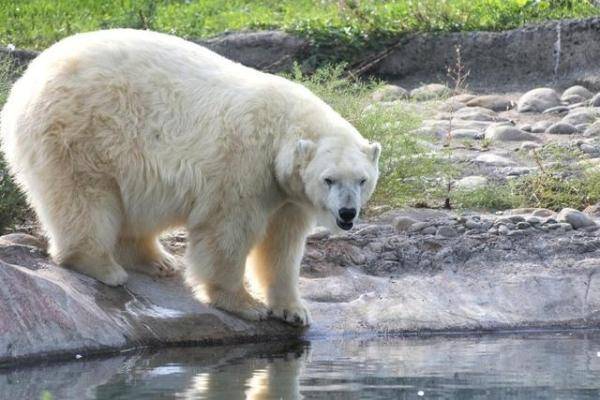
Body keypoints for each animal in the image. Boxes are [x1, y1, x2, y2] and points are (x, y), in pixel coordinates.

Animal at [1, 30, 380, 324]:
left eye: (362, 180)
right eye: (329, 179)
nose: (347, 213)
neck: (281, 129)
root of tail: (26, 81)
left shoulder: (287, 194)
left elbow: (282, 244)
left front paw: (293, 309)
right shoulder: (244, 165)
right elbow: (227, 232)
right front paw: (244, 304)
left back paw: (157, 261)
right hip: (80, 130)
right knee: (84, 196)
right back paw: (102, 266)